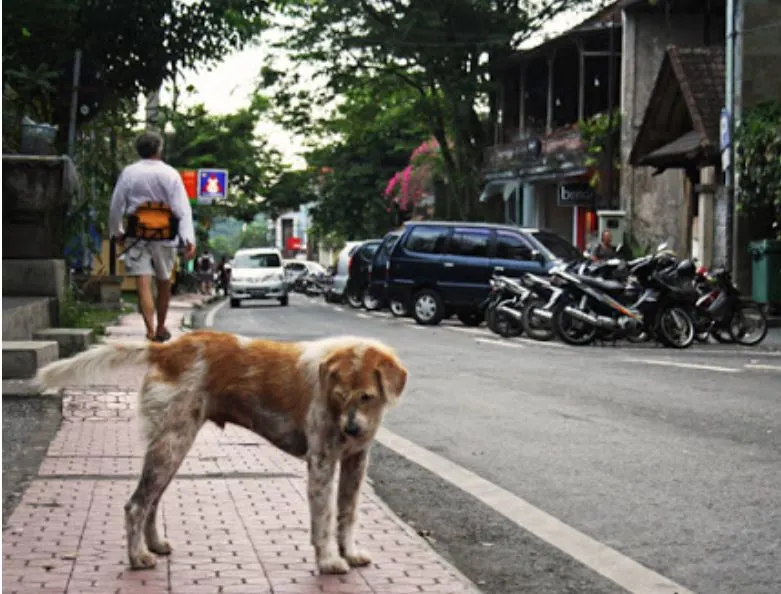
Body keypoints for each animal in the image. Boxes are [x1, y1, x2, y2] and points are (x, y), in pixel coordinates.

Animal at [38, 330, 408, 572]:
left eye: (367, 396)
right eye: (340, 395)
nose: (352, 430)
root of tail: (167, 349)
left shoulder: (356, 461)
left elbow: (348, 513)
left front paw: (350, 552)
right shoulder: (322, 462)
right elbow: (326, 518)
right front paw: (330, 560)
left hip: (172, 447)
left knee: (151, 503)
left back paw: (154, 544)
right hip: (171, 445)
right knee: (136, 505)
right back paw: (138, 557)